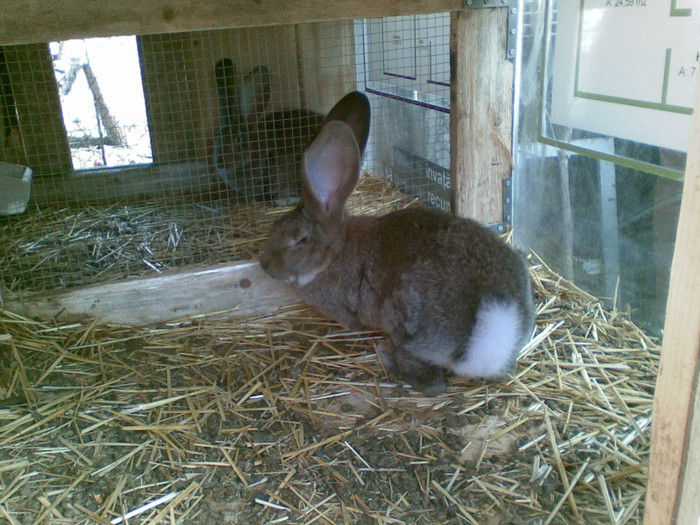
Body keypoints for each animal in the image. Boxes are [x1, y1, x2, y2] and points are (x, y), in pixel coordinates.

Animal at [260, 91, 532, 392]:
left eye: (299, 239)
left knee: (430, 382)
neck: (335, 253)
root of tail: (493, 329)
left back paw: (387, 356)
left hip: (407, 329)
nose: (264, 264)